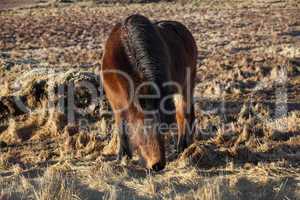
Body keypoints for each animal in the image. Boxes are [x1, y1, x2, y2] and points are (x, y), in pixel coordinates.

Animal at [101, 14, 198, 171]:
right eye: (144, 128)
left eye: (164, 128)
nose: (158, 165)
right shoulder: (116, 102)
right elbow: (121, 126)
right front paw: (122, 156)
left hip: (186, 86)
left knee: (183, 114)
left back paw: (181, 147)